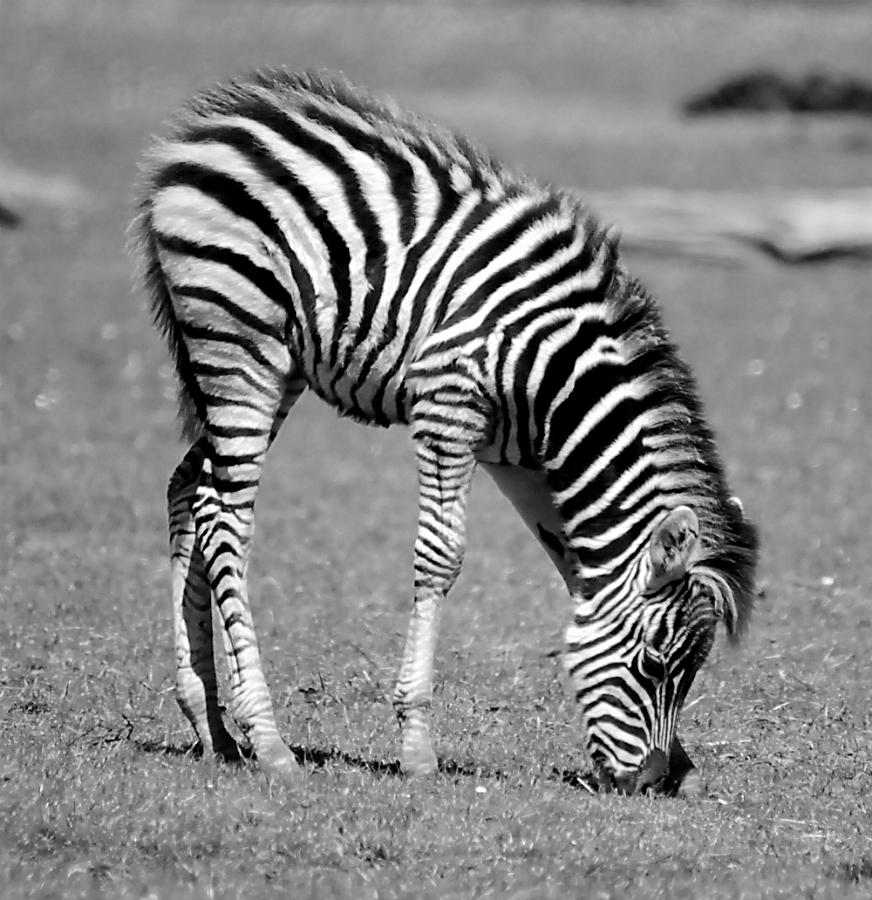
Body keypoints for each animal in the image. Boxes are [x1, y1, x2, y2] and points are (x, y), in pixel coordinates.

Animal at [133, 69, 759, 795]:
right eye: (655, 665)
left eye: (688, 673)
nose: (649, 783)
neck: (559, 377)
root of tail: (208, 129)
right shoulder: (449, 406)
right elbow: (442, 559)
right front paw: (417, 746)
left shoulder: (520, 457)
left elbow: (575, 568)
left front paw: (681, 760)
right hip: (239, 340)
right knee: (227, 519)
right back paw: (267, 739)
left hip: (273, 362)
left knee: (189, 488)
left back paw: (209, 721)